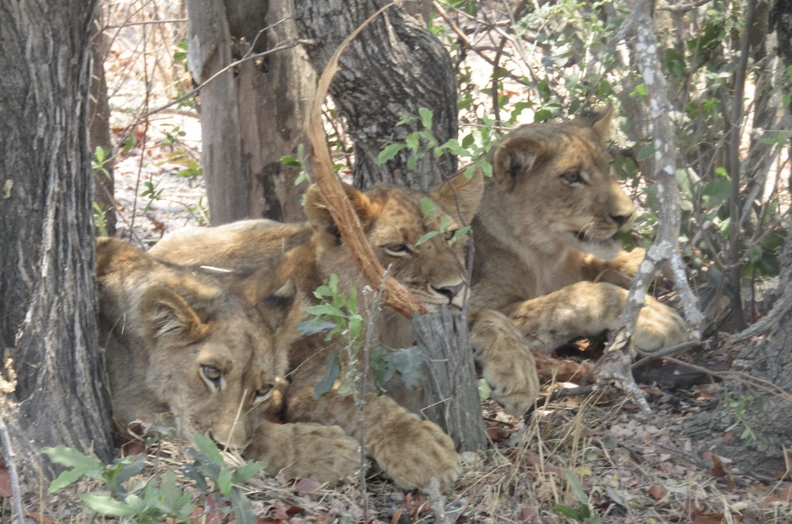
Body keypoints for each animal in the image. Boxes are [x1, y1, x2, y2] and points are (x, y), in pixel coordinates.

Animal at [96, 237, 360, 485]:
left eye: (262, 389)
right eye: (211, 372)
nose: (225, 447)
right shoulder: (132, 408)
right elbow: (259, 437)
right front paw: (330, 452)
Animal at [150, 171, 540, 489]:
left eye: (451, 234)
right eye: (397, 247)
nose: (454, 288)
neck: (391, 323)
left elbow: (490, 315)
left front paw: (520, 376)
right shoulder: (311, 388)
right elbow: (367, 404)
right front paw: (422, 451)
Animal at [469, 106, 688, 351]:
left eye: (608, 166)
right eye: (573, 176)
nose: (626, 215)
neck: (548, 256)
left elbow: (602, 261)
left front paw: (657, 261)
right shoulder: (478, 311)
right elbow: (579, 294)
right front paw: (654, 317)